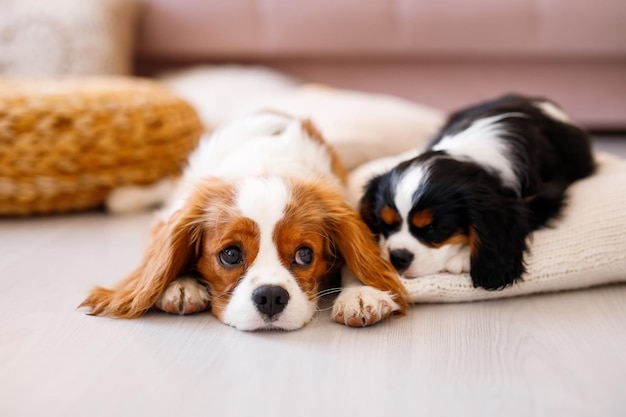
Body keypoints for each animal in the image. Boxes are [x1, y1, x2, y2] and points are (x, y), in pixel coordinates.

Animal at [80, 112, 408, 330]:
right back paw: (124, 198)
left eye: (305, 255)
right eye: (230, 254)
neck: (264, 164)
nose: (271, 297)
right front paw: (180, 284)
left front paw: (361, 293)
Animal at [358, 94, 592, 290]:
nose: (397, 258)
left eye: (433, 228)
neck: (467, 154)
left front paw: (464, 256)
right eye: (384, 224)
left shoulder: (546, 195)